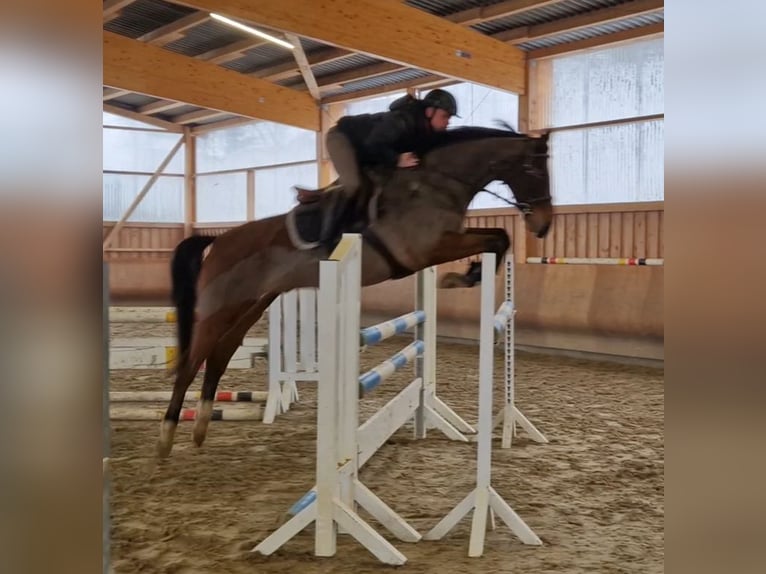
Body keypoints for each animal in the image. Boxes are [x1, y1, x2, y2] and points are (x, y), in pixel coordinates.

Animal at [156, 125, 553, 458]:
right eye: (535, 171)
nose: (543, 226)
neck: (434, 184)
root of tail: (219, 240)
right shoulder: (425, 250)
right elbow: (496, 238)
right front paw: (459, 278)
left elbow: (498, 237)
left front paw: (466, 275)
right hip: (218, 308)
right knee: (192, 362)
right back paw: (167, 437)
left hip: (252, 304)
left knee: (220, 354)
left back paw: (201, 429)